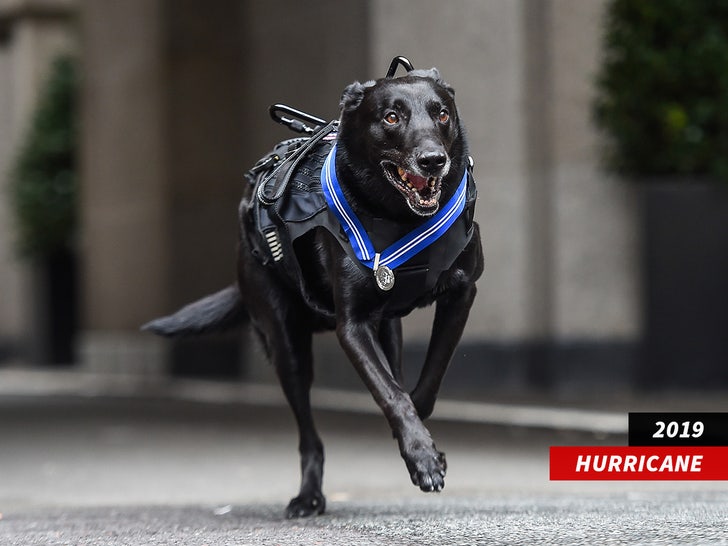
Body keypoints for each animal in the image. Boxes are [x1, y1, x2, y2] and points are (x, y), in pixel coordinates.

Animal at [142, 66, 484, 516]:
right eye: (391, 117)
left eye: (441, 113)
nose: (432, 160)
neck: (401, 218)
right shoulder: (352, 326)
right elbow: (392, 394)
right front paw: (423, 457)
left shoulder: (461, 295)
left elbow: (423, 382)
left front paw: (421, 447)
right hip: (287, 347)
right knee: (309, 436)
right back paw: (308, 497)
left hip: (386, 330)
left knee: (393, 373)